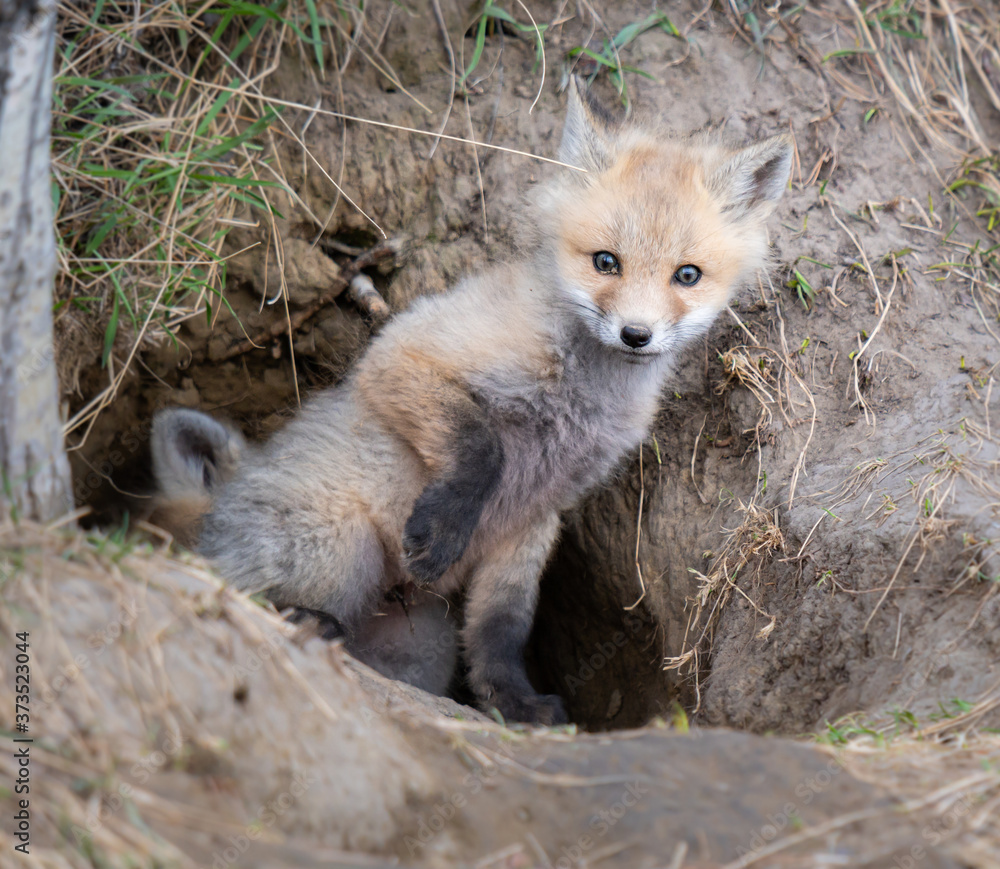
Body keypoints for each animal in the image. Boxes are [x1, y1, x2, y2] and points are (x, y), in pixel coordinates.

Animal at [149, 80, 792, 724]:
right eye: (606, 262)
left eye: (688, 275)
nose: (637, 335)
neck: (578, 396)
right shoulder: (403, 355)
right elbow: (480, 448)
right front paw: (444, 529)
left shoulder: (537, 518)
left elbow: (500, 630)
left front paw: (512, 702)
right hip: (346, 545)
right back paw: (302, 616)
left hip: (424, 640)